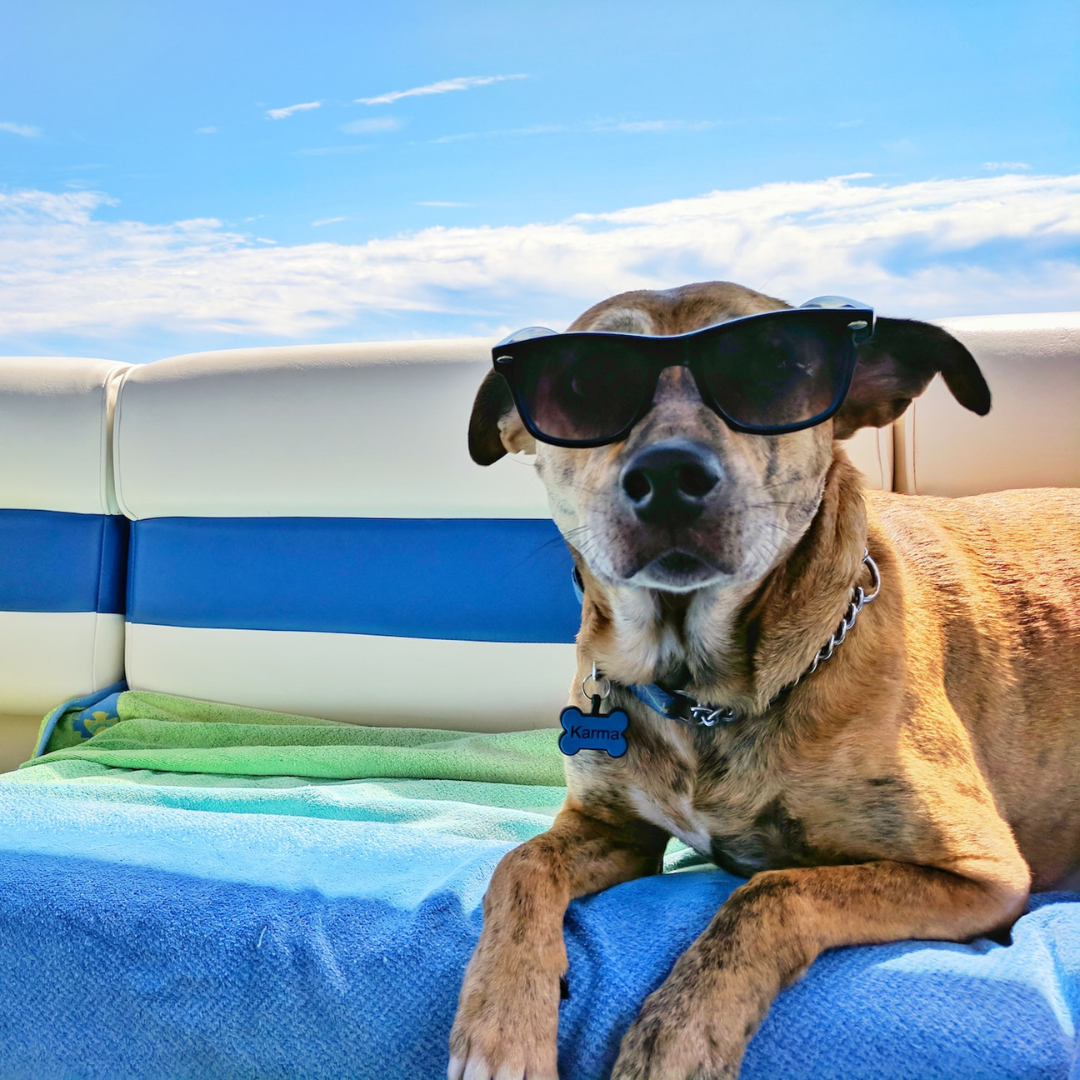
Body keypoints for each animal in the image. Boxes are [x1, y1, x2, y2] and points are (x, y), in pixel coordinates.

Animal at [442, 280, 1075, 1080]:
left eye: (774, 366)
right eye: (582, 383)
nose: (669, 478)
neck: (701, 692)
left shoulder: (981, 870)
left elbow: (771, 892)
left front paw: (676, 1038)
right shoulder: (613, 831)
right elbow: (519, 863)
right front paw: (499, 1025)